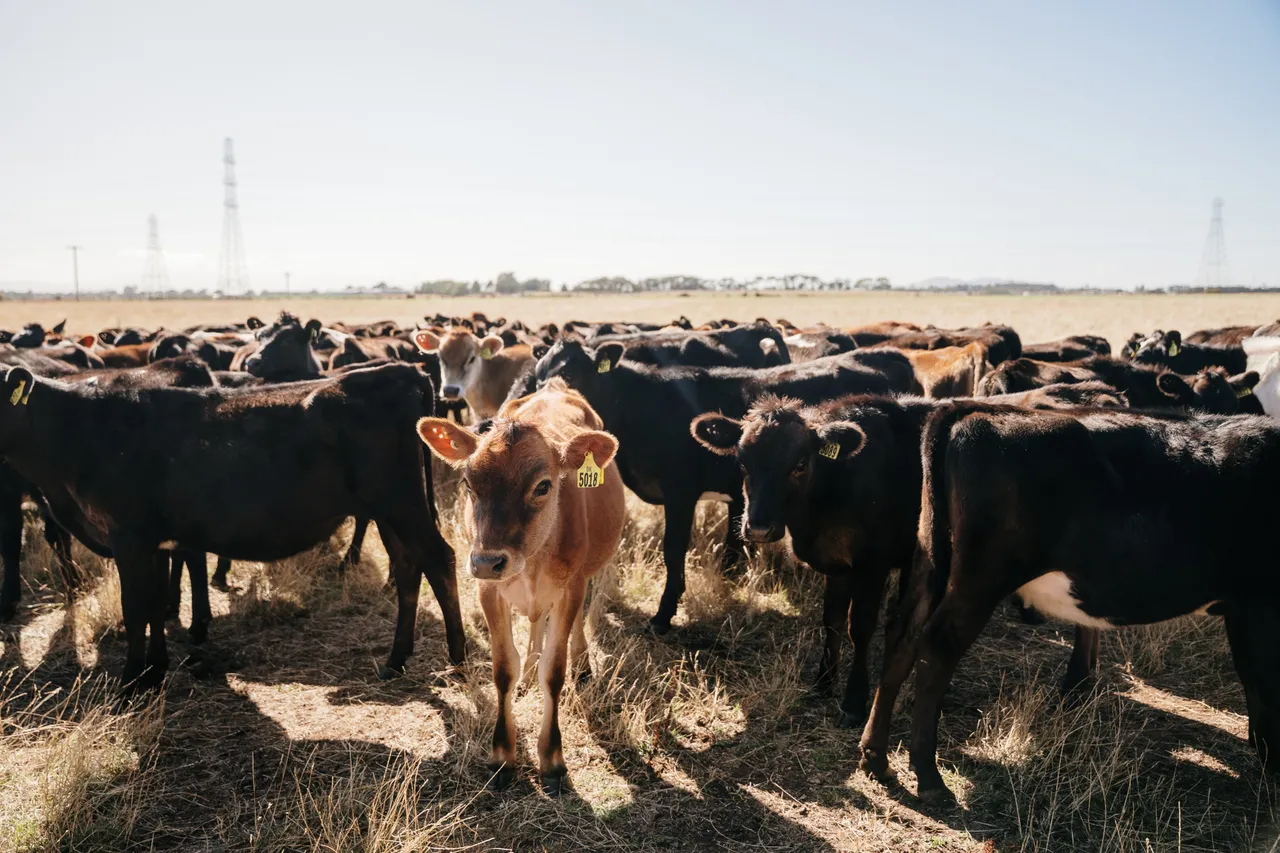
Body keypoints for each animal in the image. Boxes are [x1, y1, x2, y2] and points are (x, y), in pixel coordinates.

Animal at [0, 361, 465, 690]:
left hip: (402, 505)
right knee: (408, 569)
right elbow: (153, 606)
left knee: (439, 560)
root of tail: (401, 371)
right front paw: (154, 670)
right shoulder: (151, 541)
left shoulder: (128, 536)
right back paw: (396, 660)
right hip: (391, 513)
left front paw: (131, 681)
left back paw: (457, 661)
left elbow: (135, 609)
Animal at [417, 380, 625, 795]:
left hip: (585, 577)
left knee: (573, 627)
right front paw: (502, 754)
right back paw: (529, 673)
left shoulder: (570, 588)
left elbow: (554, 671)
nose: (487, 561)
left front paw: (552, 759)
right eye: (468, 483)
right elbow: (503, 670)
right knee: (533, 626)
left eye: (543, 486)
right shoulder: (488, 591)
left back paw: (582, 665)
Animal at [859, 401, 1280, 803]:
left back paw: (876, 758)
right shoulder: (1259, 604)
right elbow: (1263, 681)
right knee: (937, 646)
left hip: (932, 556)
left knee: (903, 635)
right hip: (982, 577)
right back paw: (928, 777)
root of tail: (972, 409)